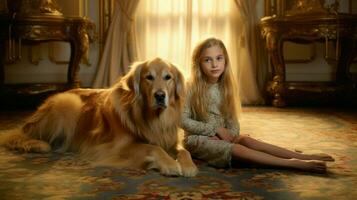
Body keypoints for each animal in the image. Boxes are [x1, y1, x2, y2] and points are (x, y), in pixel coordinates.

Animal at [0, 57, 197, 177]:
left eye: (168, 77)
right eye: (149, 77)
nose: (160, 96)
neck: (154, 119)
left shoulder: (170, 139)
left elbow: (183, 150)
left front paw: (189, 166)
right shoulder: (117, 146)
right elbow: (153, 148)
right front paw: (170, 164)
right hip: (67, 103)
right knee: (22, 136)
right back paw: (40, 144)